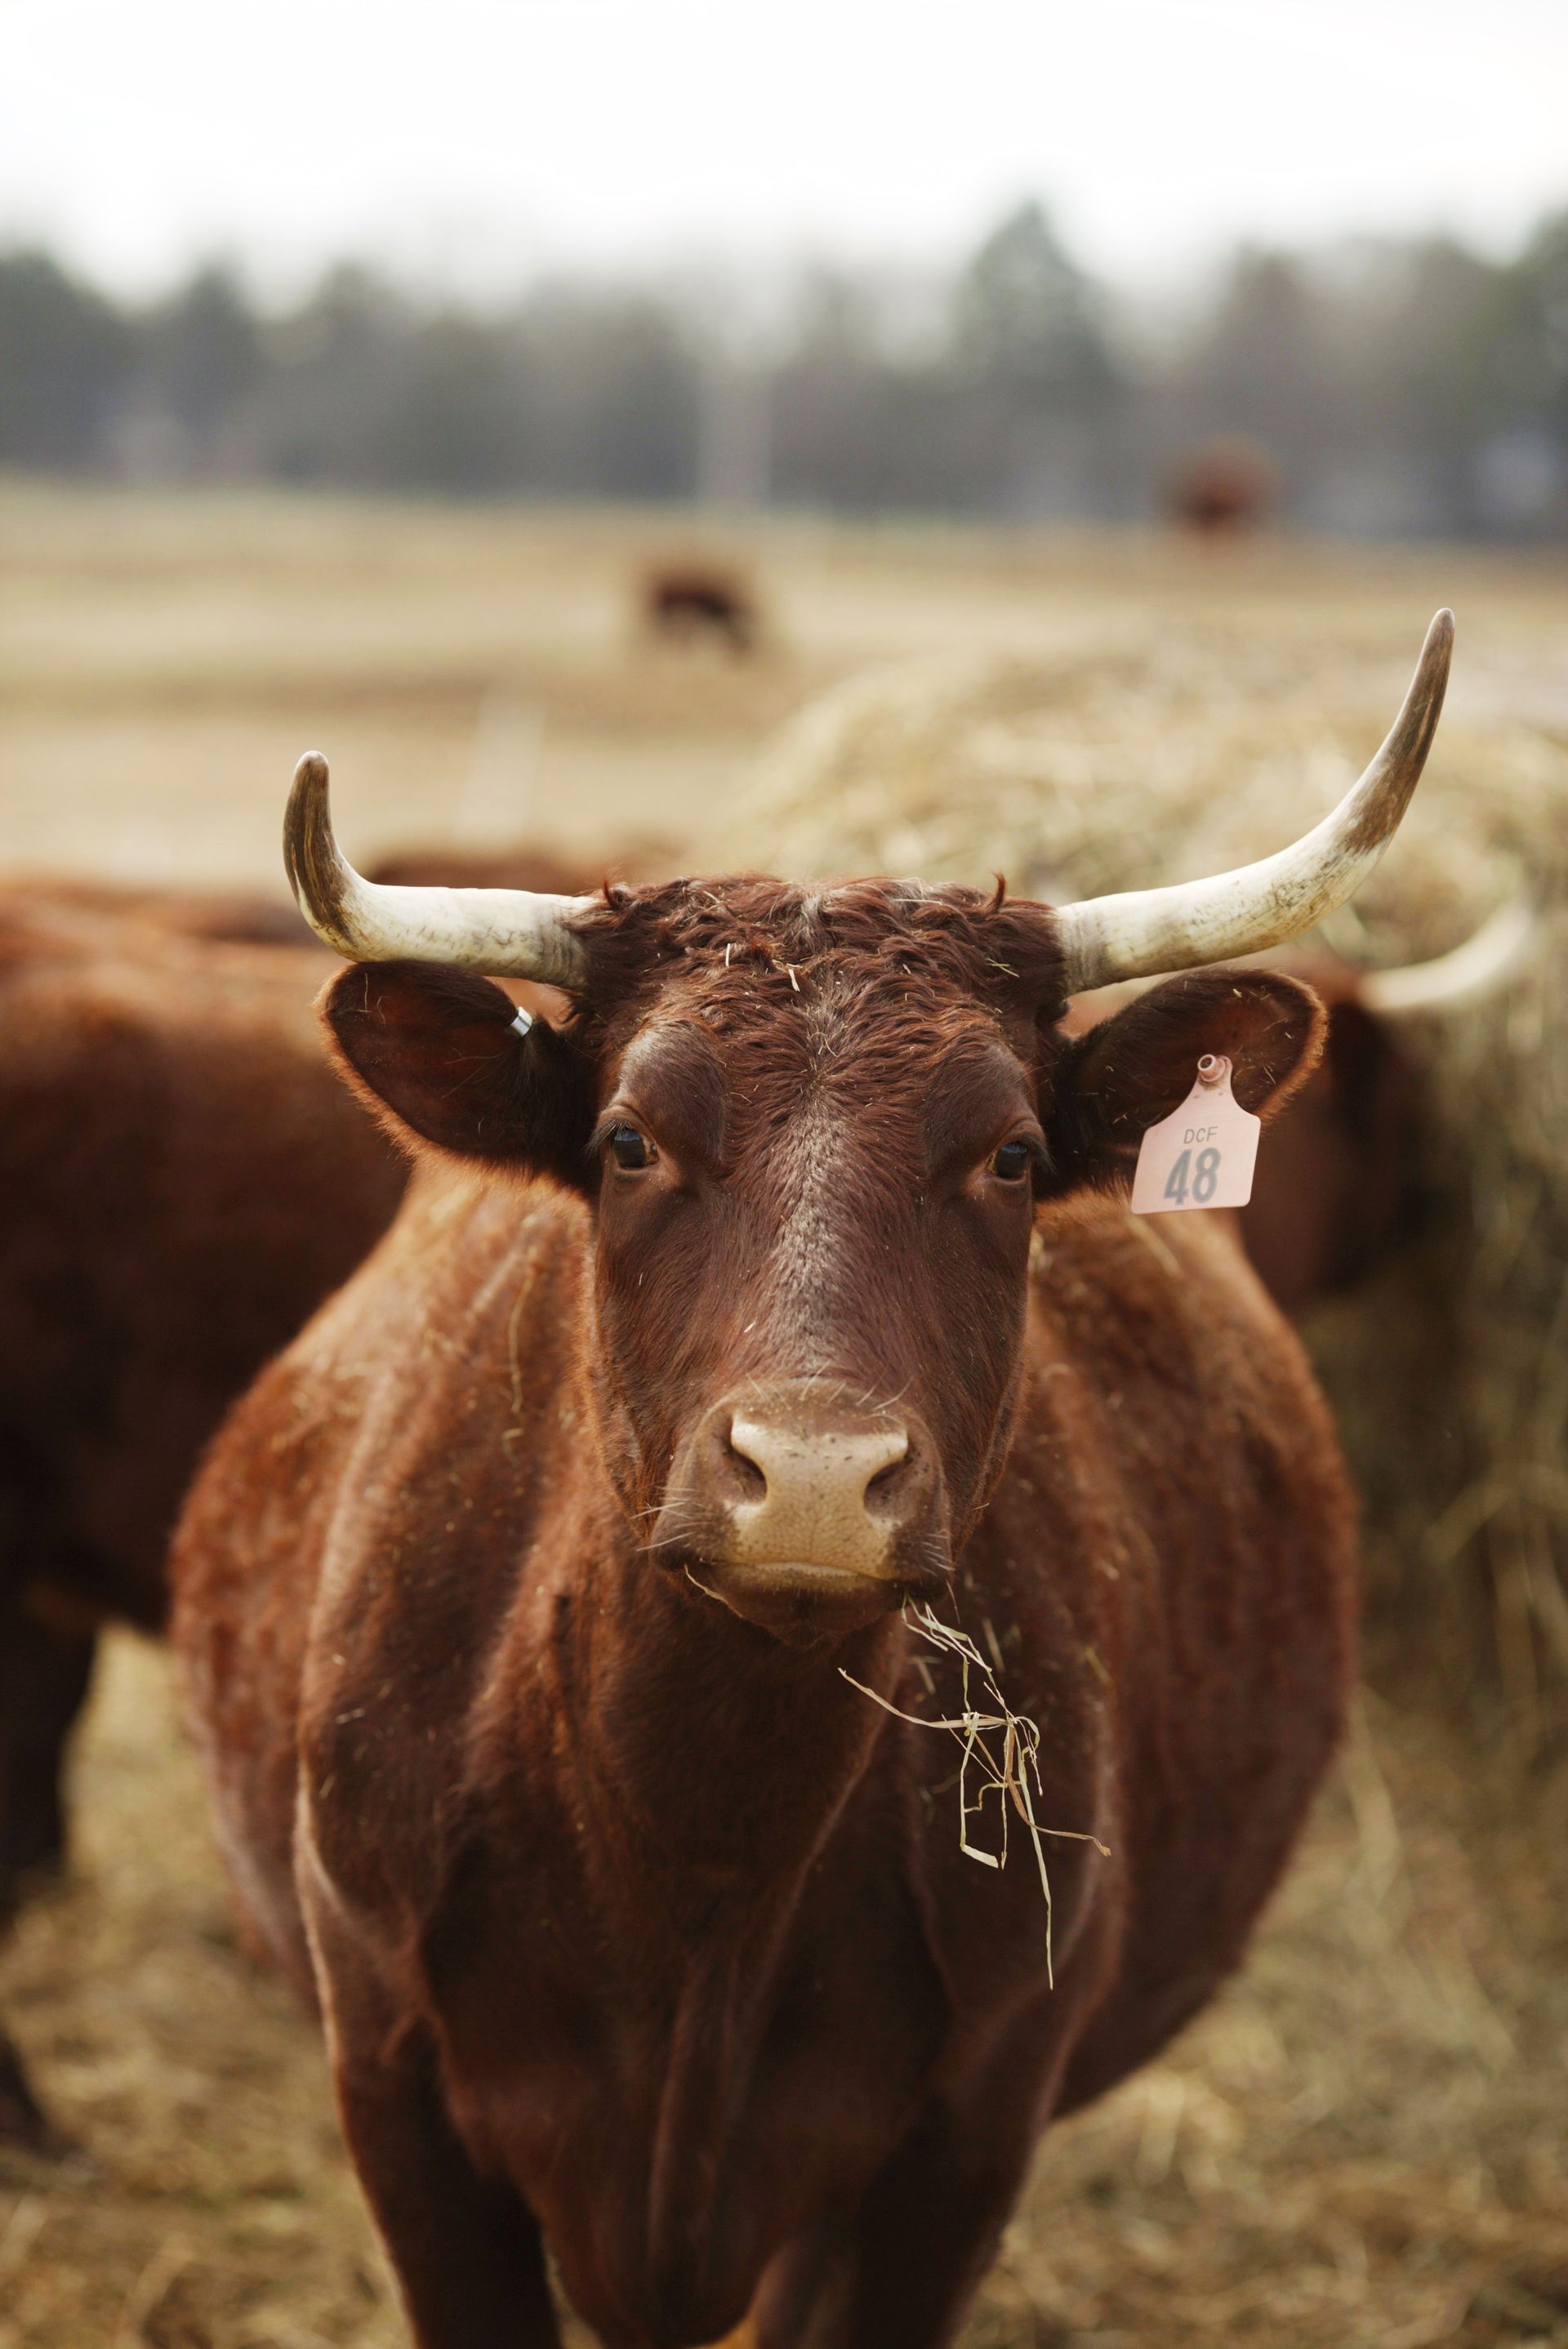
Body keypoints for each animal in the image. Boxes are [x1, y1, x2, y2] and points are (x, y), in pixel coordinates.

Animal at [171, 612, 1452, 2348]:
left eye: (1009, 1155)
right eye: (630, 1140)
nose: (819, 1478)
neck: (698, 1862)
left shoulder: (961, 2147)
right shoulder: (397, 2100)